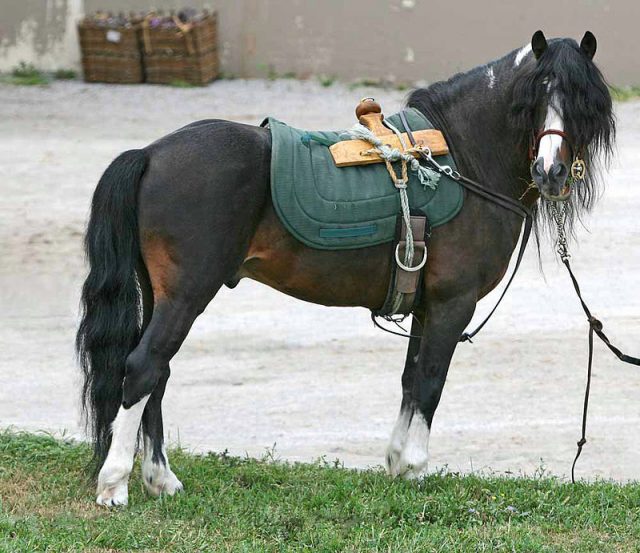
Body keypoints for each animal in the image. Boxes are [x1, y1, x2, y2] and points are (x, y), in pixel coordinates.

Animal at [76, 30, 616, 504]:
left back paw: (161, 480)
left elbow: (410, 379)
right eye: (534, 96)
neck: (461, 159)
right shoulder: (451, 304)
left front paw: (397, 463)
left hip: (163, 296)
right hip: (187, 294)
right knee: (143, 369)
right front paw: (415, 468)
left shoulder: (425, 307)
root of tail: (149, 154)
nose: (550, 171)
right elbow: (430, 381)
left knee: (157, 375)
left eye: (583, 100)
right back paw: (115, 486)